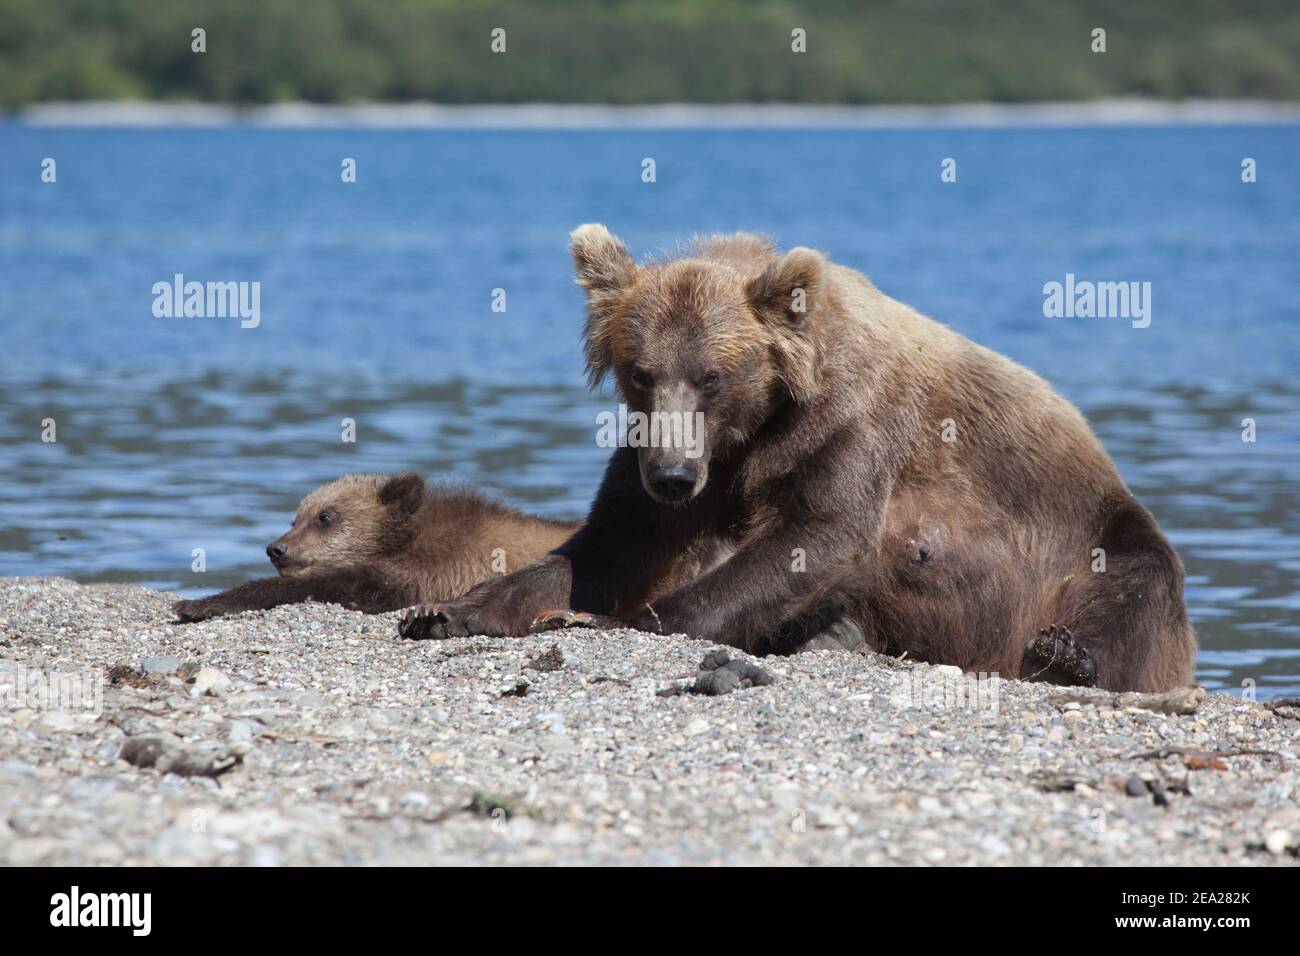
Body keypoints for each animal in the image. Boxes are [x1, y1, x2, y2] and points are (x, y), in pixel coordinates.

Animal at [397, 223, 1196, 691]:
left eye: (712, 376)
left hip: (1088, 531)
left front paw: (612, 621)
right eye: (642, 372)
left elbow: (820, 534)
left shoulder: (850, 428)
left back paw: (1065, 655)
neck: (755, 427)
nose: (673, 477)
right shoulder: (660, 454)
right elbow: (606, 544)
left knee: (1133, 591)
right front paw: (448, 609)